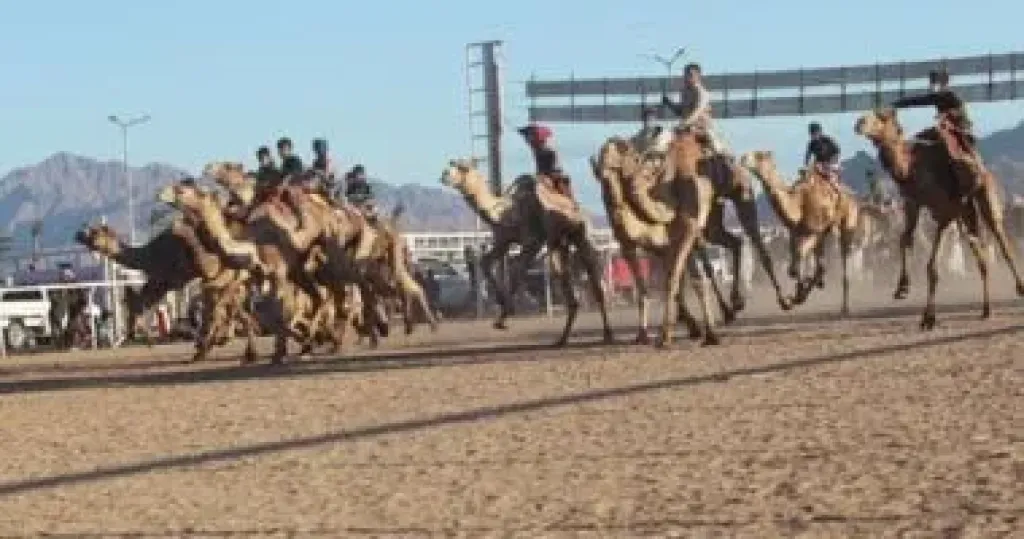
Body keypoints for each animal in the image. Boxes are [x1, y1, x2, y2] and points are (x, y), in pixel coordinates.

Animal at [436, 160, 610, 346]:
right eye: (451, 162)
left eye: (463, 167)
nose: (444, 174)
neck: (505, 213)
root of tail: (579, 210)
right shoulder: (503, 240)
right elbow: (485, 262)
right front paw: (501, 306)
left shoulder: (532, 241)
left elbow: (516, 271)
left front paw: (504, 316)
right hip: (560, 244)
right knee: (567, 279)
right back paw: (563, 338)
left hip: (579, 236)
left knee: (592, 275)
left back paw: (607, 334)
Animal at [737, 149, 864, 315]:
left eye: (760, 156)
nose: (743, 158)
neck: (798, 205)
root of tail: (853, 196)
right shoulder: (794, 234)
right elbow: (793, 268)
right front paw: (795, 296)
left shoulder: (812, 233)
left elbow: (798, 264)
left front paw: (796, 297)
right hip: (824, 234)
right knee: (821, 265)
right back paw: (817, 284)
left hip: (848, 221)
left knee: (843, 261)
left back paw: (845, 306)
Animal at [851, 109, 1024, 327]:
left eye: (881, 116)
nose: (859, 123)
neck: (910, 169)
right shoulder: (912, 204)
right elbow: (904, 239)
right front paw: (902, 288)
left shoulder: (944, 213)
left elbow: (932, 267)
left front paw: (928, 317)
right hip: (966, 214)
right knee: (981, 257)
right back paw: (986, 310)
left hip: (985, 197)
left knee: (1003, 244)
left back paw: (1020, 288)